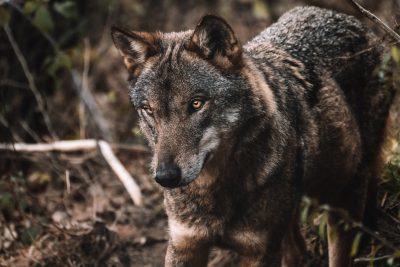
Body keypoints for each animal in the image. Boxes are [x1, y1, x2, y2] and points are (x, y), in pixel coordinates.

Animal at [111, 6, 396, 267]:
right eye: (149, 110)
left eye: (196, 104)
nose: (166, 177)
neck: (215, 190)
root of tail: (346, 17)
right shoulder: (185, 245)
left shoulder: (260, 251)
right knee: (297, 251)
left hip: (344, 200)